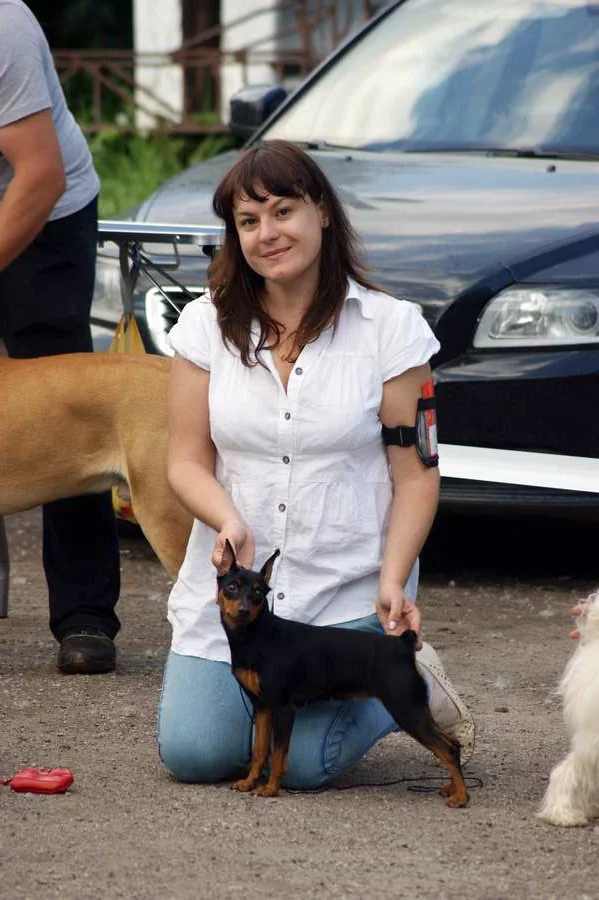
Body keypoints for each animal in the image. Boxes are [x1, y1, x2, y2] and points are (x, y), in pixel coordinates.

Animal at [216, 540, 469, 807]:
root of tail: (402, 643)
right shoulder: (262, 707)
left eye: (257, 592)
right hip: (411, 708)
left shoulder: (283, 709)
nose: (243, 610)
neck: (256, 635)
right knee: (452, 744)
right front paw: (249, 782)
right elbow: (259, 751)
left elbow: (278, 755)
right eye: (232, 587)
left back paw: (461, 796)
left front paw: (271, 788)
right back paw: (452, 788)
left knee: (448, 748)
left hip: (406, 708)